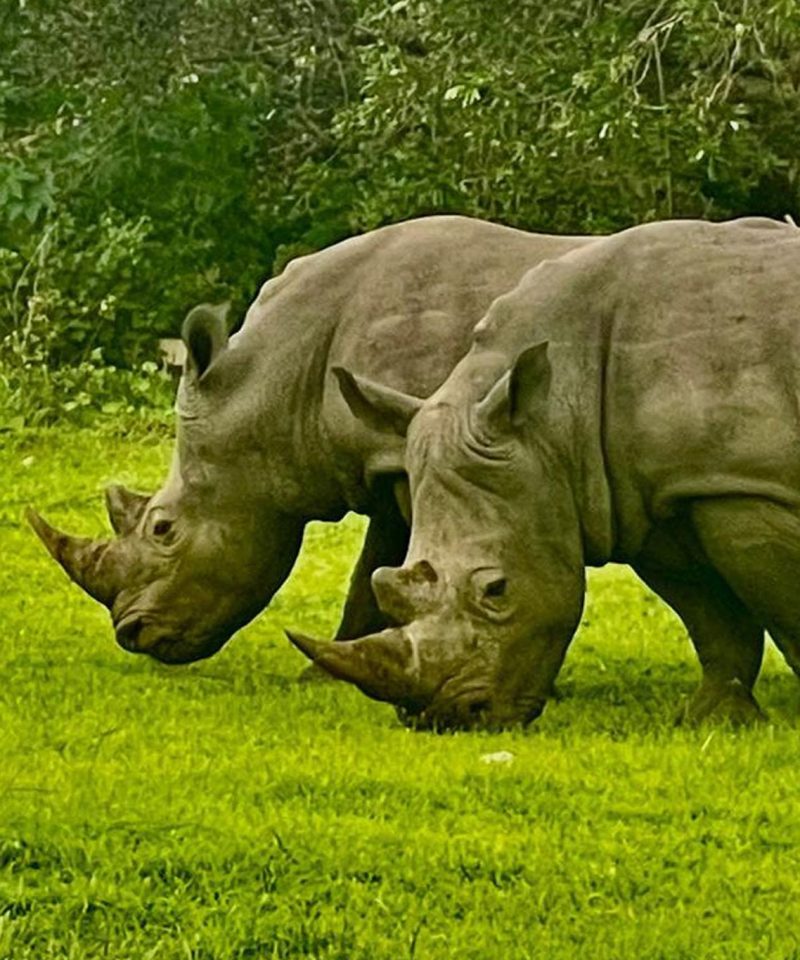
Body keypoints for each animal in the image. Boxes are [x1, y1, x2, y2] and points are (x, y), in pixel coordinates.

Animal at [288, 216, 800, 728]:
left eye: (497, 590)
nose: (447, 717)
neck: (556, 413)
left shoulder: (744, 486)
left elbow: (779, 601)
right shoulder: (661, 494)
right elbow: (712, 617)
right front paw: (715, 718)